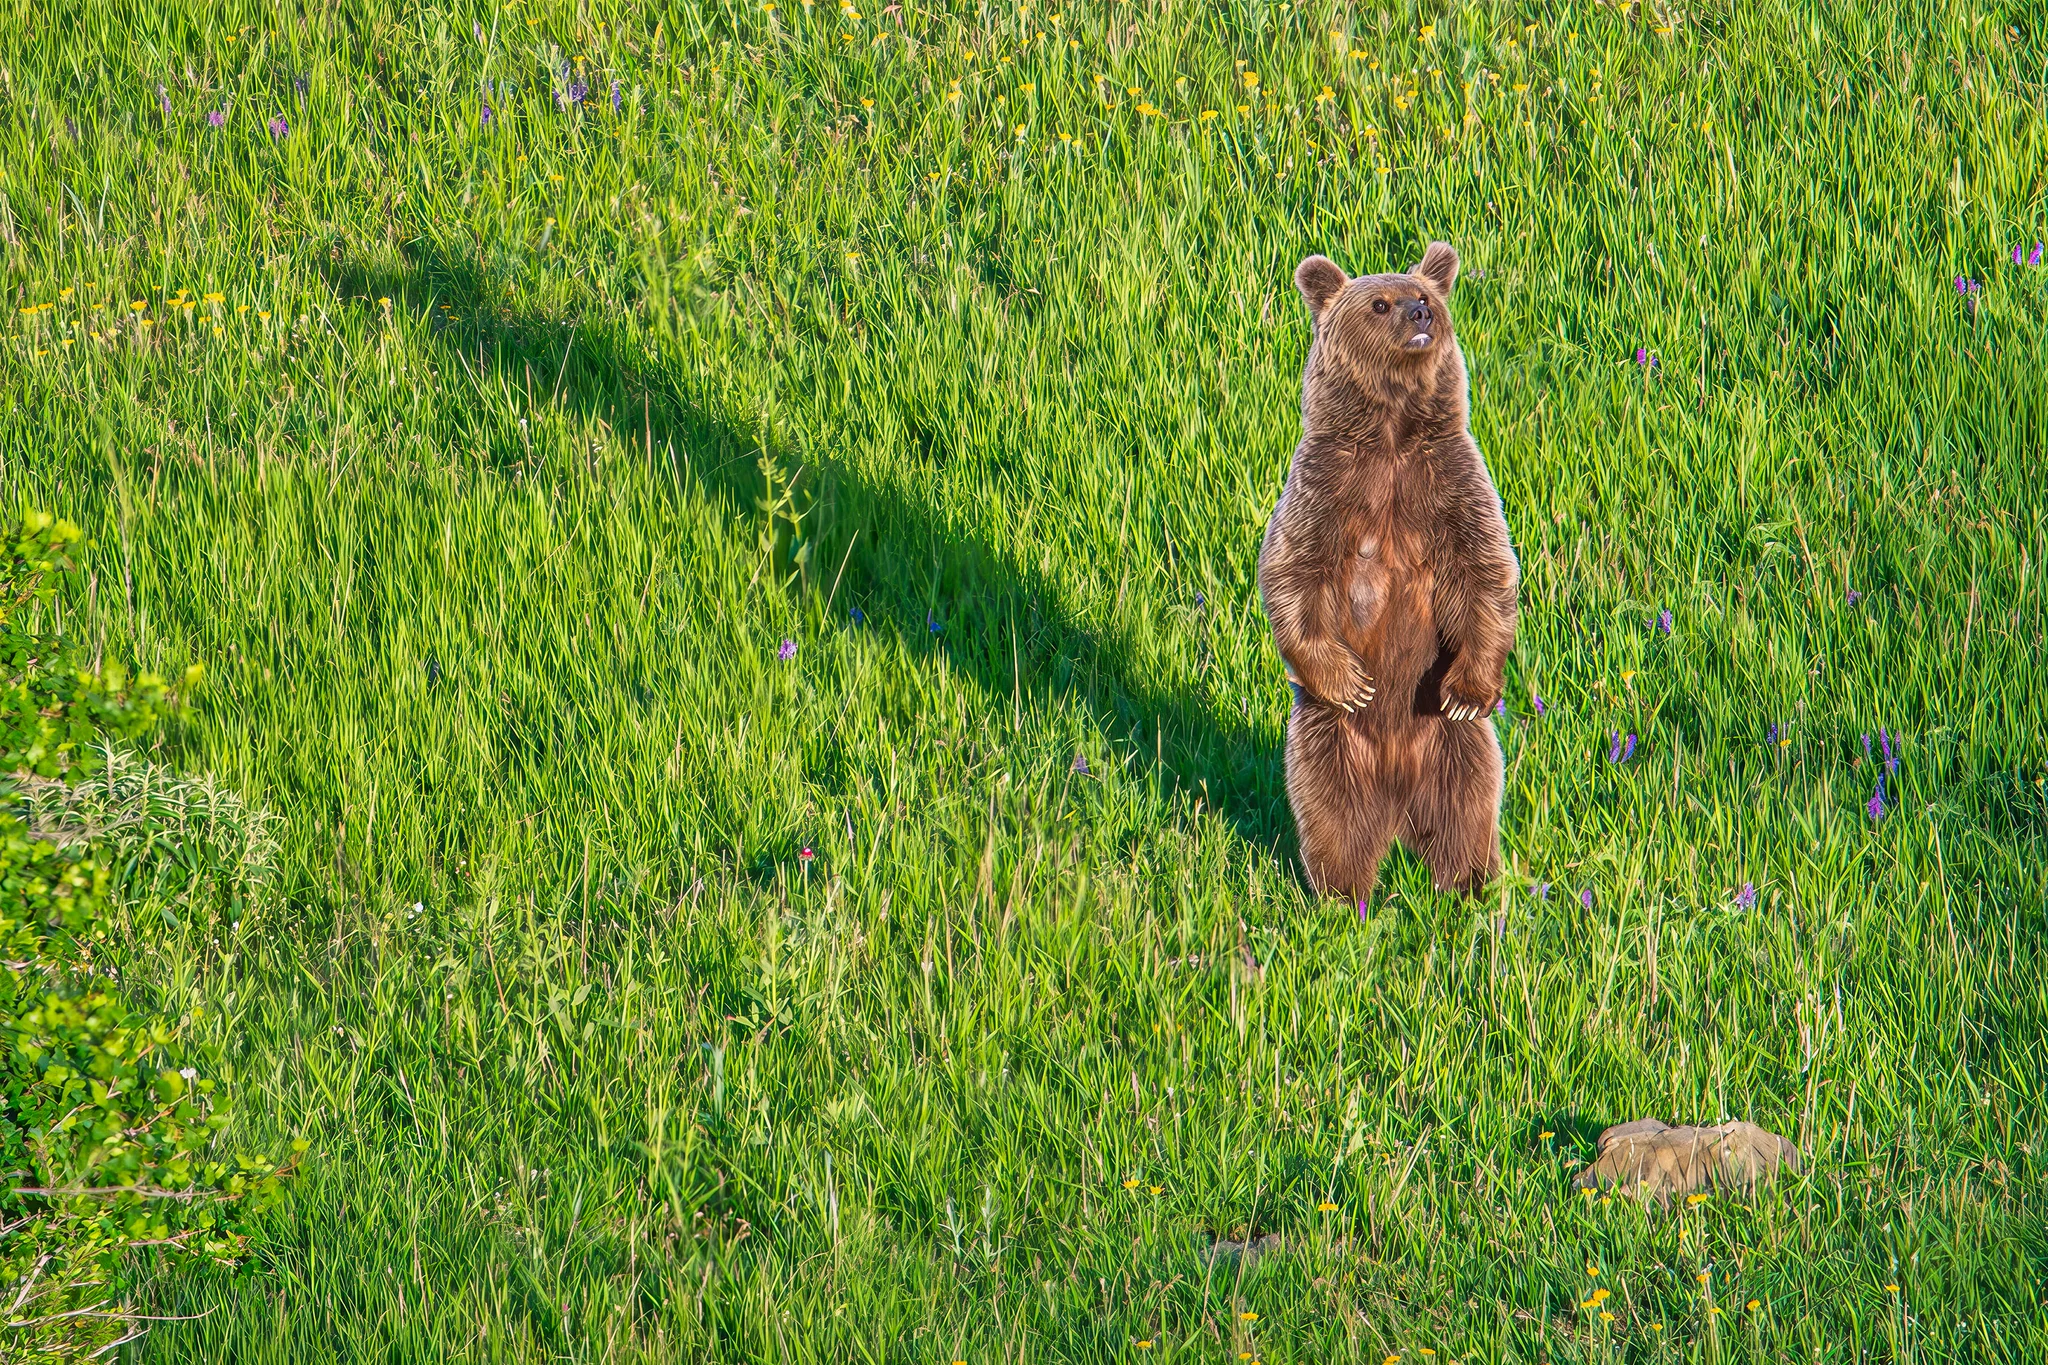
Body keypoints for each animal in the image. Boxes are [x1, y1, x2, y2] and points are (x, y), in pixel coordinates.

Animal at [1257, 241, 1519, 901]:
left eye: (1424, 294)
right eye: (1379, 302)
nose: (1419, 315)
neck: (1392, 432)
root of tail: (1398, 805)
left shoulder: (1449, 479)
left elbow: (1485, 567)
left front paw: (1470, 689)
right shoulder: (1329, 484)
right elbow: (1291, 567)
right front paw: (1350, 679)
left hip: (1453, 742)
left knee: (1467, 807)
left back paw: (1471, 885)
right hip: (1328, 740)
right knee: (1332, 817)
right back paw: (1341, 896)